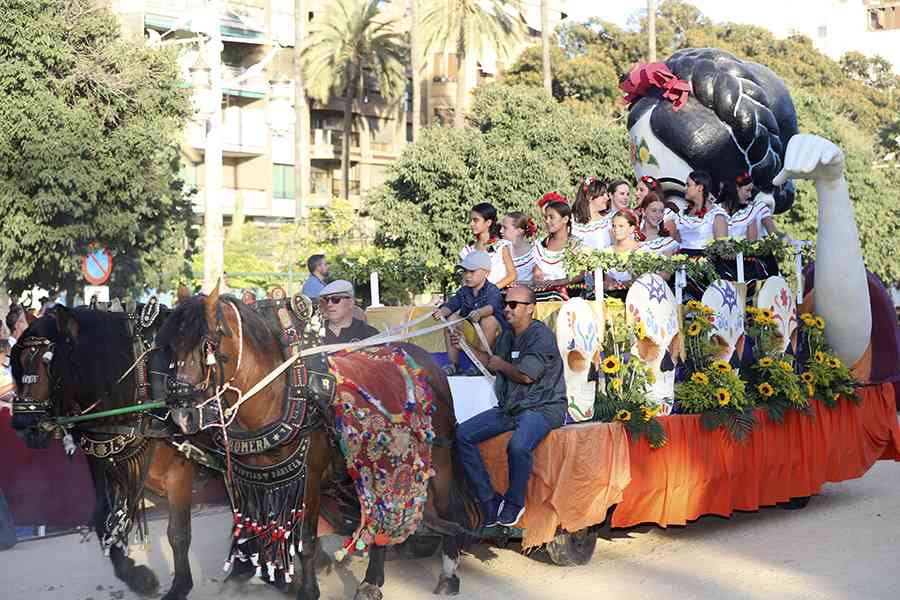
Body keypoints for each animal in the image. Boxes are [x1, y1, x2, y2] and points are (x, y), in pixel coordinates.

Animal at [9, 305, 212, 600]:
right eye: (18, 362)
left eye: (48, 363)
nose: (24, 426)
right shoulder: (105, 465)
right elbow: (102, 518)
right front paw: (137, 576)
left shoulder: (179, 475)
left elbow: (178, 533)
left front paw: (180, 586)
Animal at [157, 287, 479, 600]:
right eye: (170, 347)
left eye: (208, 344)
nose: (182, 415)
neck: (280, 396)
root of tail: (424, 359)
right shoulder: (254, 479)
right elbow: (260, 531)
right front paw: (269, 575)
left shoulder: (309, 477)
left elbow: (305, 540)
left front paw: (307, 590)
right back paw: (373, 579)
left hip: (438, 455)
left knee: (447, 509)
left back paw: (447, 574)